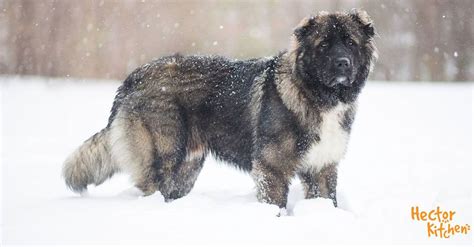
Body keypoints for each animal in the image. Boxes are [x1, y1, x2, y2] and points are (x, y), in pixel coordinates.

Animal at [65, 9, 380, 210]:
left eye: (350, 42)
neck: (316, 95)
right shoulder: (272, 168)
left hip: (187, 168)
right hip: (162, 157)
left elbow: (328, 200)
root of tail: (133, 77)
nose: (342, 63)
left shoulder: (322, 167)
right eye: (324, 45)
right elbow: (276, 204)